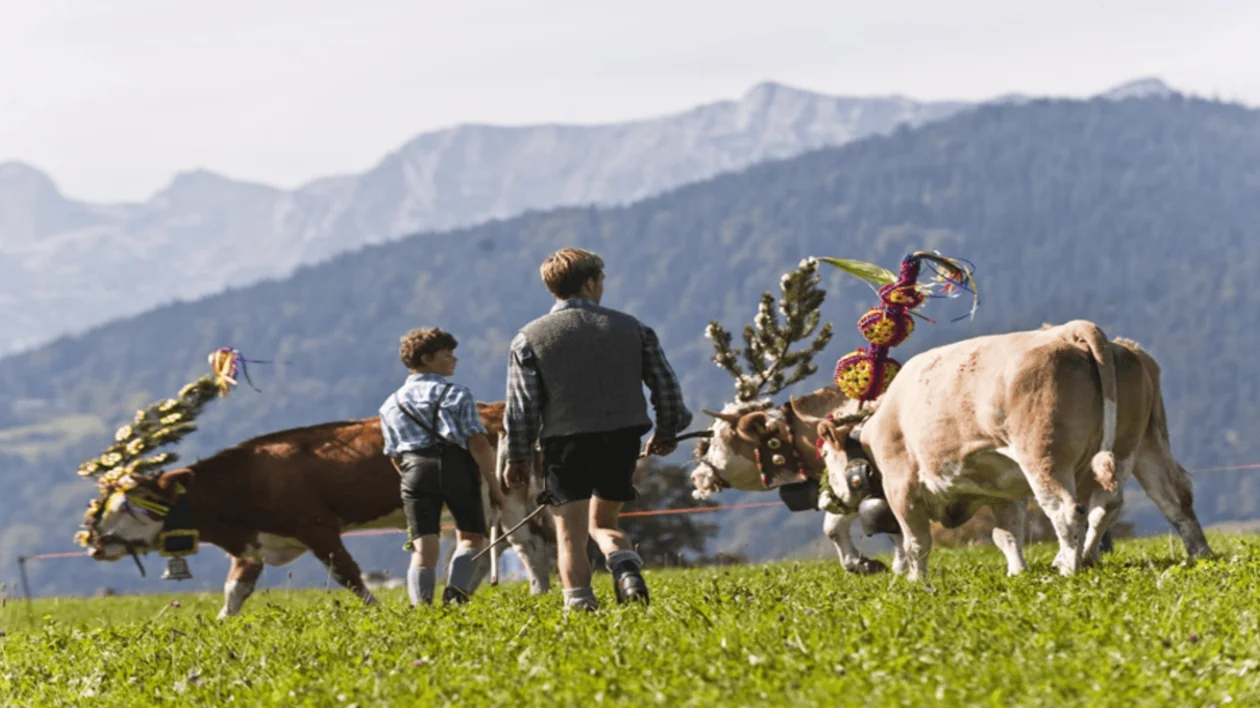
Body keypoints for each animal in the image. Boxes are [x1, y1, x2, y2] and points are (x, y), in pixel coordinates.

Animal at [78, 401, 557, 619]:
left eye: (133, 506)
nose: (95, 544)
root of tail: (495, 408)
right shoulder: (251, 547)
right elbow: (234, 592)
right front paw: (220, 626)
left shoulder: (318, 526)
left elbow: (350, 576)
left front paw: (377, 614)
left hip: (508, 499)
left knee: (530, 548)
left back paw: (539, 595)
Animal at [812, 320, 1213, 582]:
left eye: (827, 457)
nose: (823, 499)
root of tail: (1070, 331)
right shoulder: (1000, 490)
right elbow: (1005, 534)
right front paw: (1016, 571)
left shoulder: (901, 486)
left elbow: (916, 541)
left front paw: (916, 582)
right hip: (1141, 445)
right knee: (1168, 499)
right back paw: (1200, 554)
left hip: (1043, 455)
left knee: (1068, 510)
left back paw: (1069, 568)